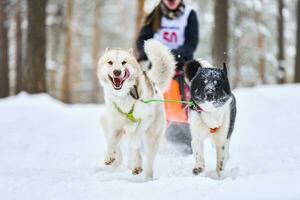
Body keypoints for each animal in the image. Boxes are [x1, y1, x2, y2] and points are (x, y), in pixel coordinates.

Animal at [96, 38, 176, 180]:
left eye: (124, 62)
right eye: (110, 62)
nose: (117, 72)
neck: (124, 97)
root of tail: (153, 82)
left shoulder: (146, 119)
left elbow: (135, 140)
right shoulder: (115, 125)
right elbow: (112, 141)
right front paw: (110, 156)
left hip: (152, 136)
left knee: (146, 158)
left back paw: (147, 176)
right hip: (112, 123)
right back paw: (134, 164)